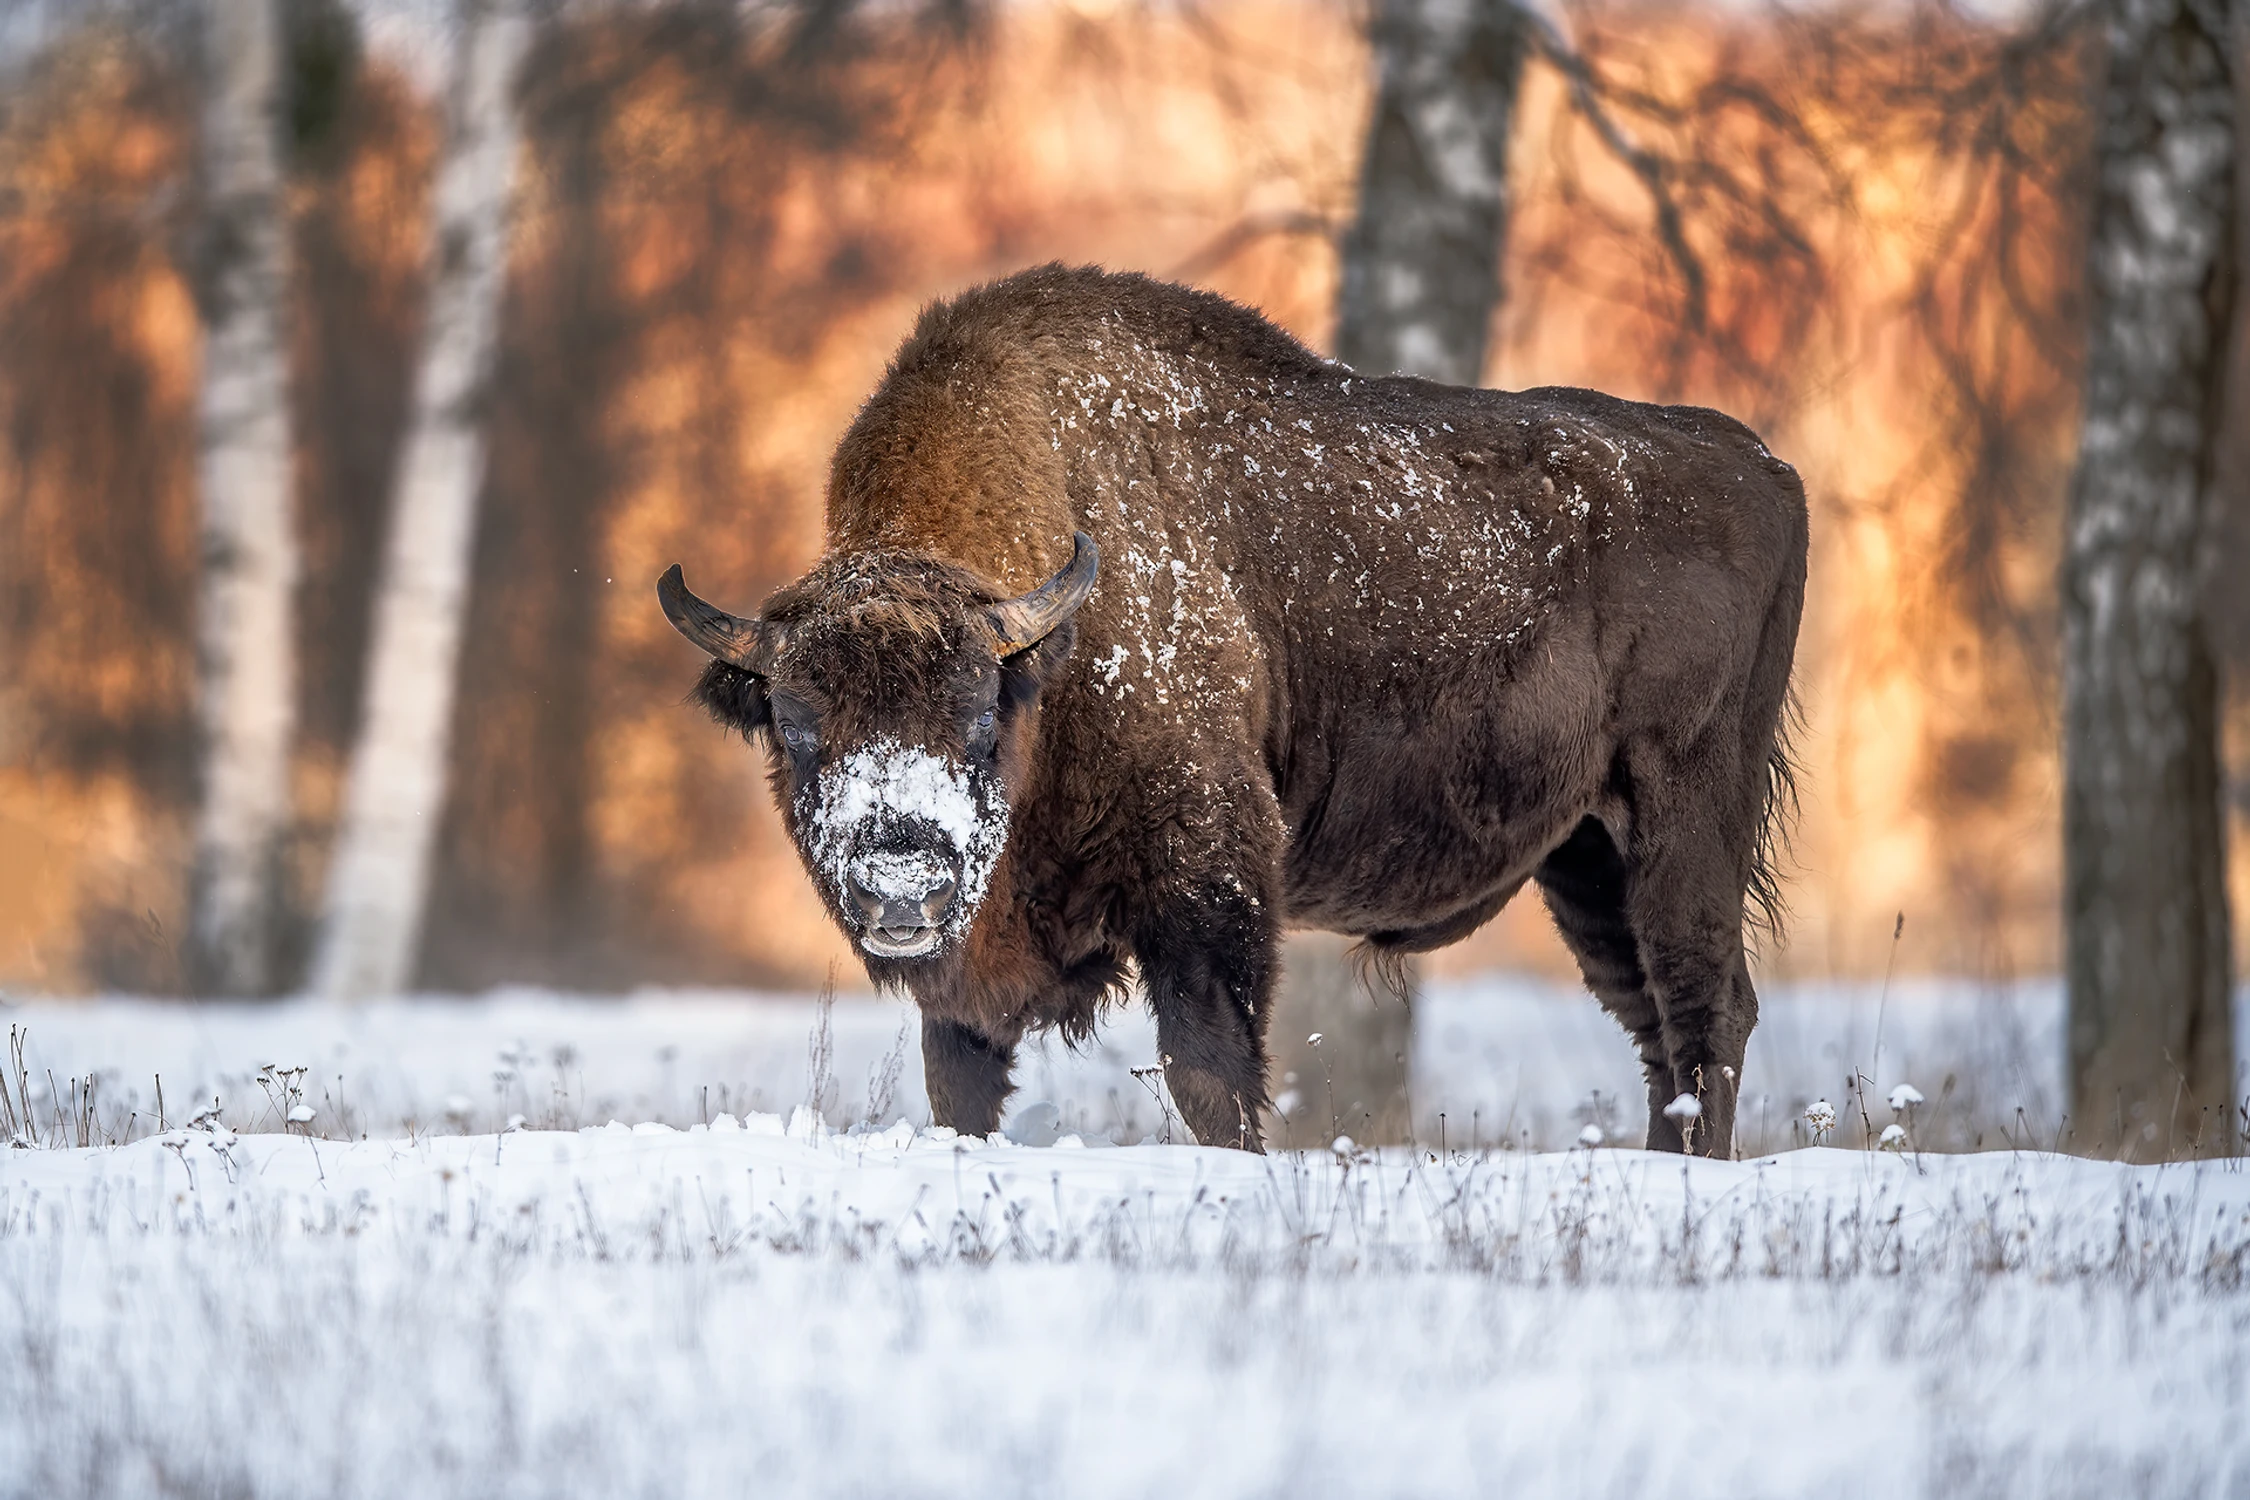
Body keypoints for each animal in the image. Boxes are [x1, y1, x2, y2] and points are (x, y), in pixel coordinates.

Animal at [657, 266, 1800, 1160]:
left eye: (982, 719)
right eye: (797, 725)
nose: (902, 888)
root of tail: (1764, 467)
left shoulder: (1208, 879)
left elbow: (1208, 1070)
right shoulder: (976, 974)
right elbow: (962, 1085)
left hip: (1684, 815)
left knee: (1704, 1001)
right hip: (1586, 851)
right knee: (1653, 1020)